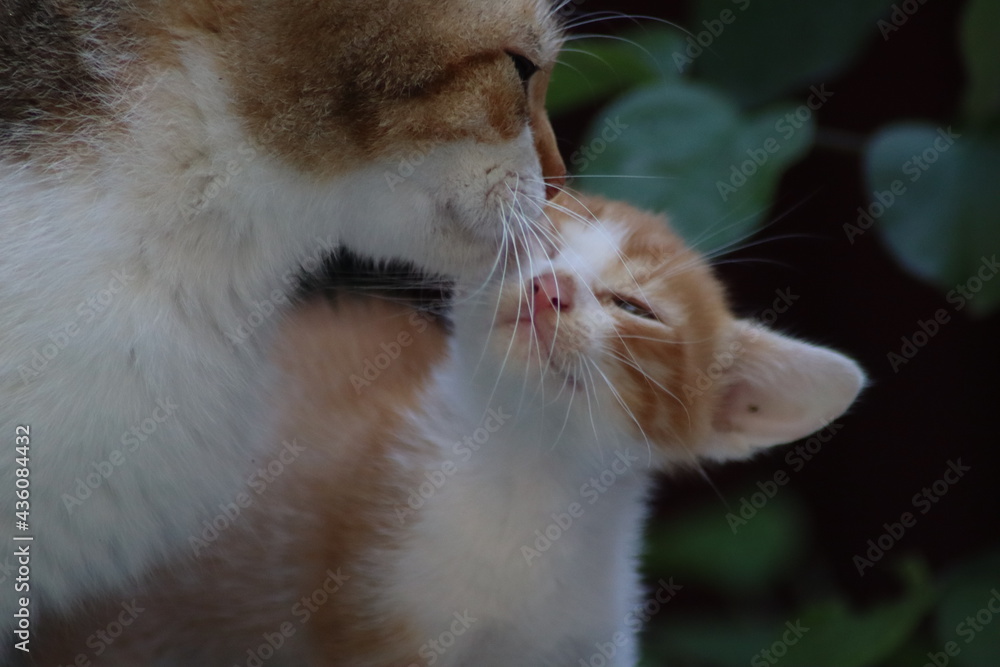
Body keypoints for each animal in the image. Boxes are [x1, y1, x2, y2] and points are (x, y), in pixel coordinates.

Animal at [37, 194, 868, 667]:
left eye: (636, 307)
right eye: (534, 246)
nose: (550, 285)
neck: (525, 490)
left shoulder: (588, 644)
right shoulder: (375, 625)